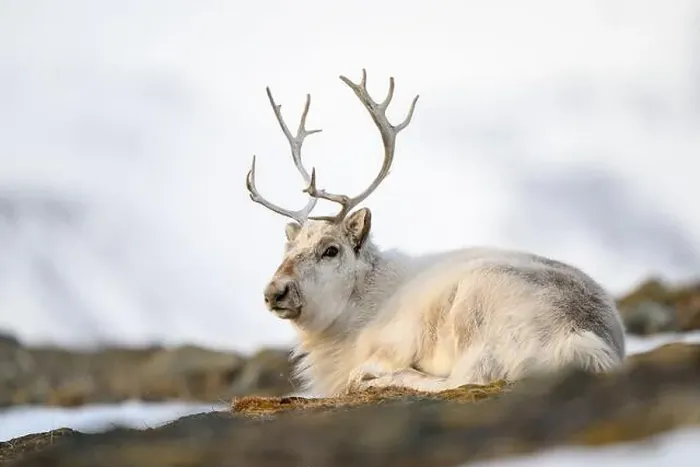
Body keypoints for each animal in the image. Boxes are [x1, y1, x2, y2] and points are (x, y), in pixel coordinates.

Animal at [245, 69, 626, 397]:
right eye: (288, 248)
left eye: (331, 249)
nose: (274, 292)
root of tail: (581, 337)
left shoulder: (392, 343)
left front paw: (370, 374)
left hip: (474, 310)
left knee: (463, 379)